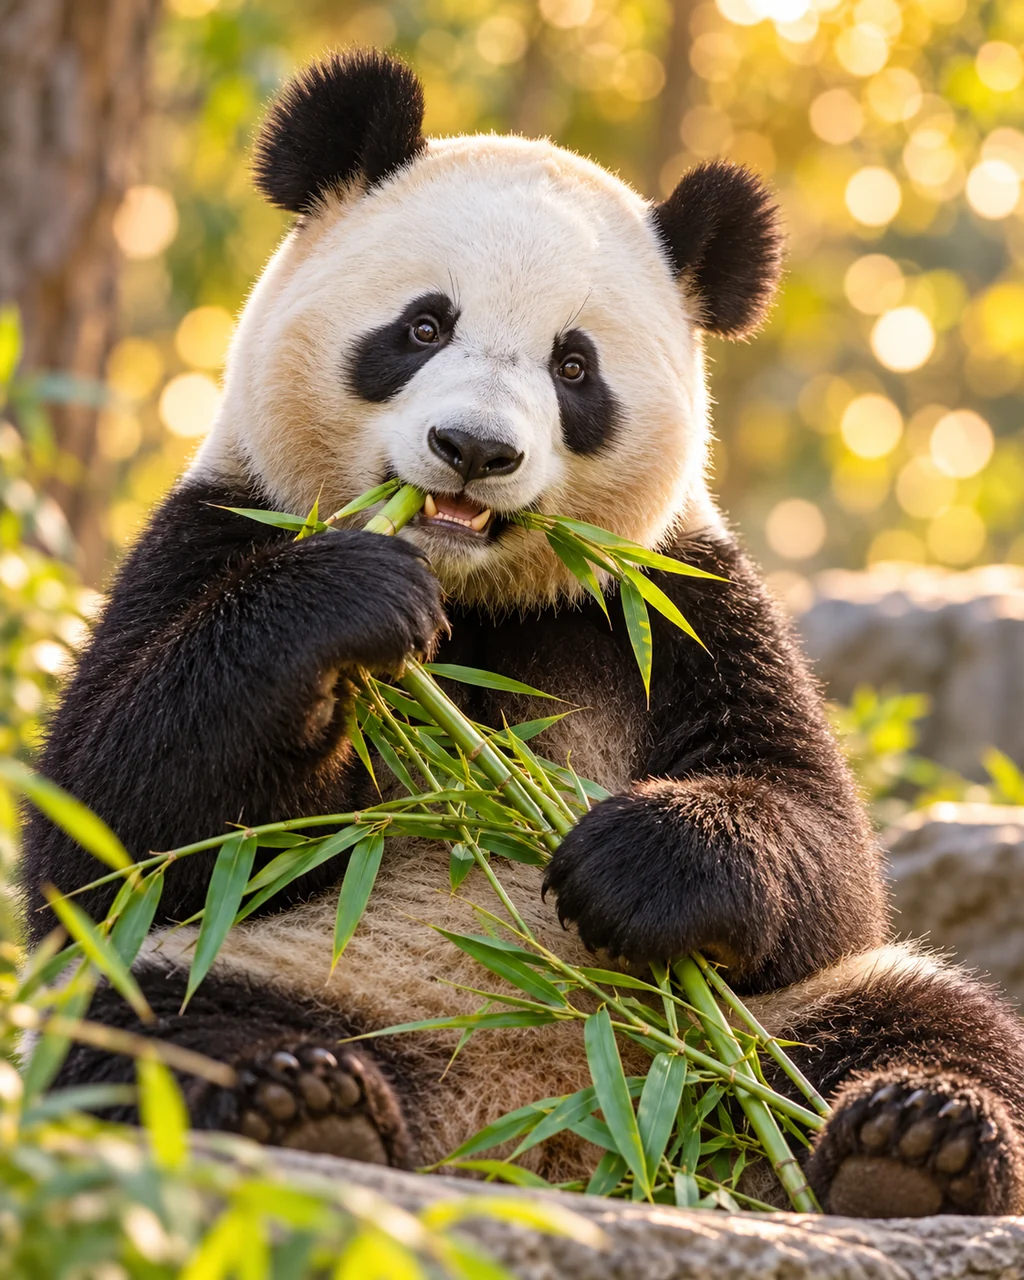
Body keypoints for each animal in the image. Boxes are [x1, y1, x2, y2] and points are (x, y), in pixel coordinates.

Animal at [24, 49, 1024, 1218]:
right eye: (422, 326)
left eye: (573, 367)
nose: (474, 449)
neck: (477, 598)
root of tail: (565, 1135)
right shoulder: (216, 527)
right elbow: (110, 835)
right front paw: (349, 602)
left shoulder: (672, 602)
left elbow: (819, 840)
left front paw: (632, 863)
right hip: (280, 964)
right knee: (140, 1019)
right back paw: (304, 1105)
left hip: (766, 1026)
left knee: (924, 1019)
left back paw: (912, 1149)